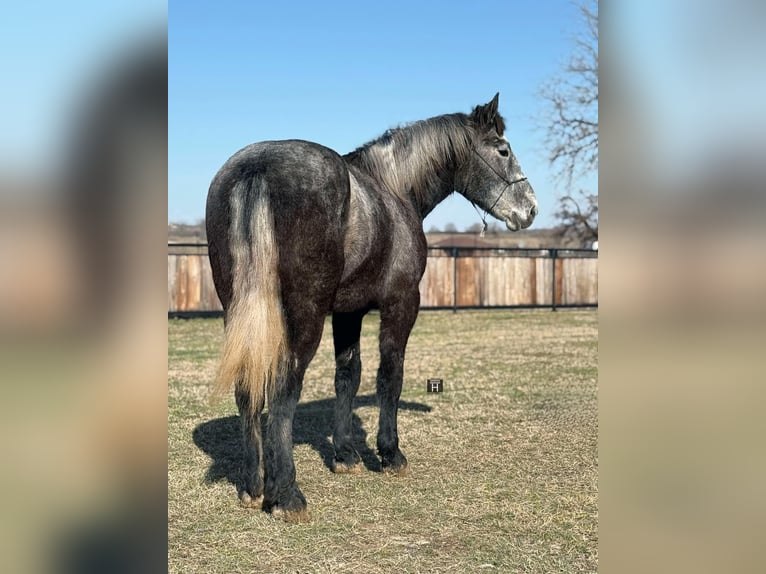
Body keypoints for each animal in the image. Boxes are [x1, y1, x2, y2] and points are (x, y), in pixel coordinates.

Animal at [205, 93, 537, 521]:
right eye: (503, 150)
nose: (530, 209)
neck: (394, 190)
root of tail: (257, 168)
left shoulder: (349, 312)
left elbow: (348, 375)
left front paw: (345, 455)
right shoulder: (402, 302)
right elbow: (389, 376)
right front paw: (390, 453)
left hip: (238, 313)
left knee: (247, 388)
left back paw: (252, 486)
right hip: (303, 317)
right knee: (283, 389)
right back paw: (287, 495)